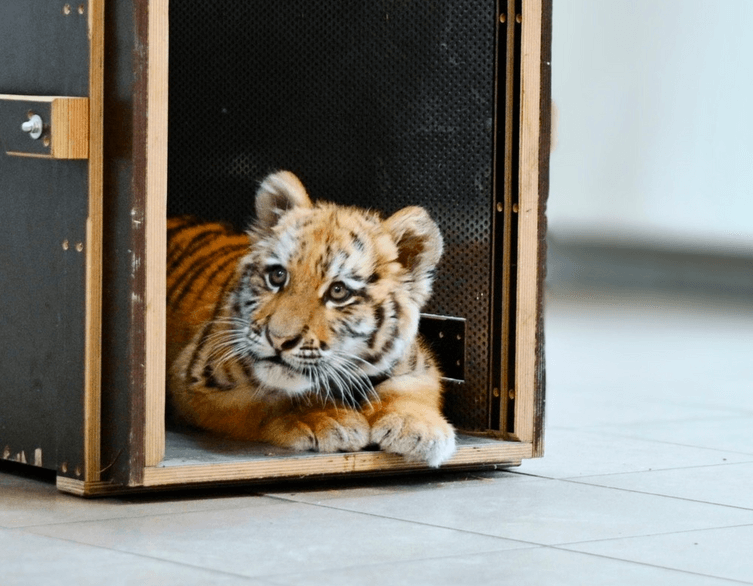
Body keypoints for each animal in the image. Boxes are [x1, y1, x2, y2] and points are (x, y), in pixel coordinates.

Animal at [166, 170, 456, 467]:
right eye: (277, 276)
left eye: (338, 291)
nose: (278, 340)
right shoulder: (195, 379)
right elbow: (276, 398)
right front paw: (327, 419)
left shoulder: (417, 364)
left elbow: (411, 389)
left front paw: (420, 429)